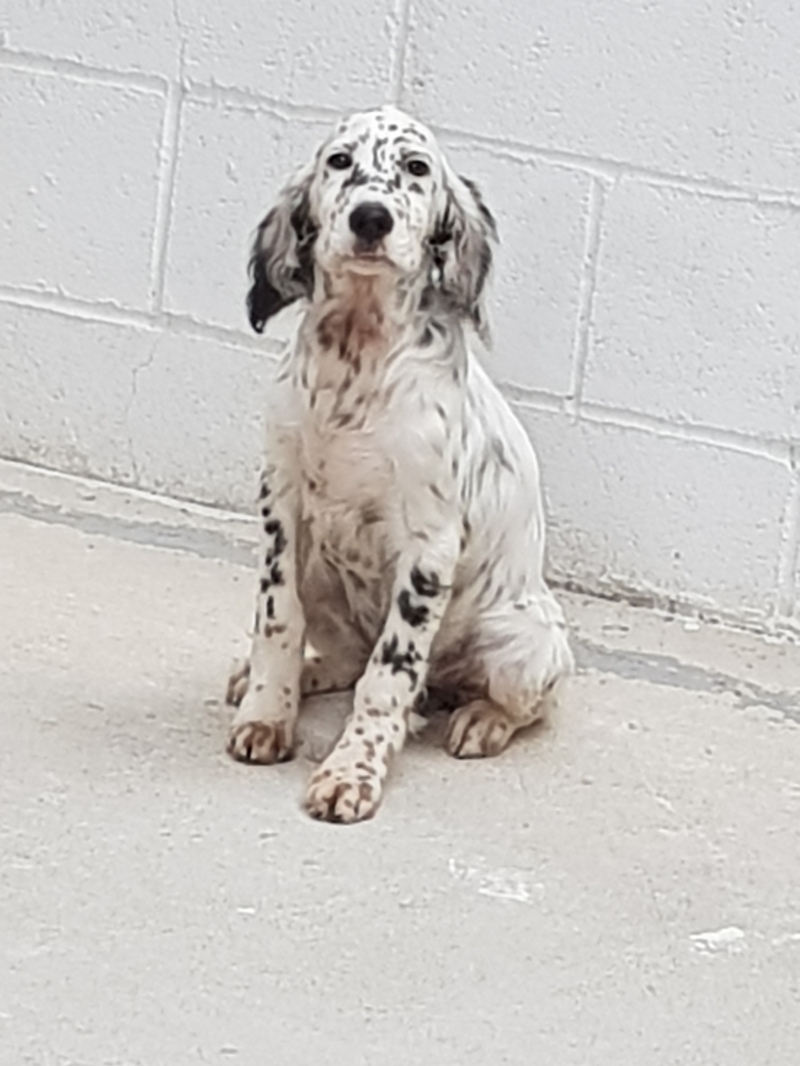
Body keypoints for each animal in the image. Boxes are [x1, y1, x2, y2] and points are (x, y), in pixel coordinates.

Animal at [226, 105, 573, 823]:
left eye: (416, 168)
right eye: (339, 162)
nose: (370, 219)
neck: (357, 354)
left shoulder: (429, 545)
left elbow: (389, 674)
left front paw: (351, 771)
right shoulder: (281, 509)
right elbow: (277, 621)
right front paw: (268, 712)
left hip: (523, 639)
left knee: (520, 703)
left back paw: (481, 720)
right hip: (323, 574)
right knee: (347, 659)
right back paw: (296, 675)